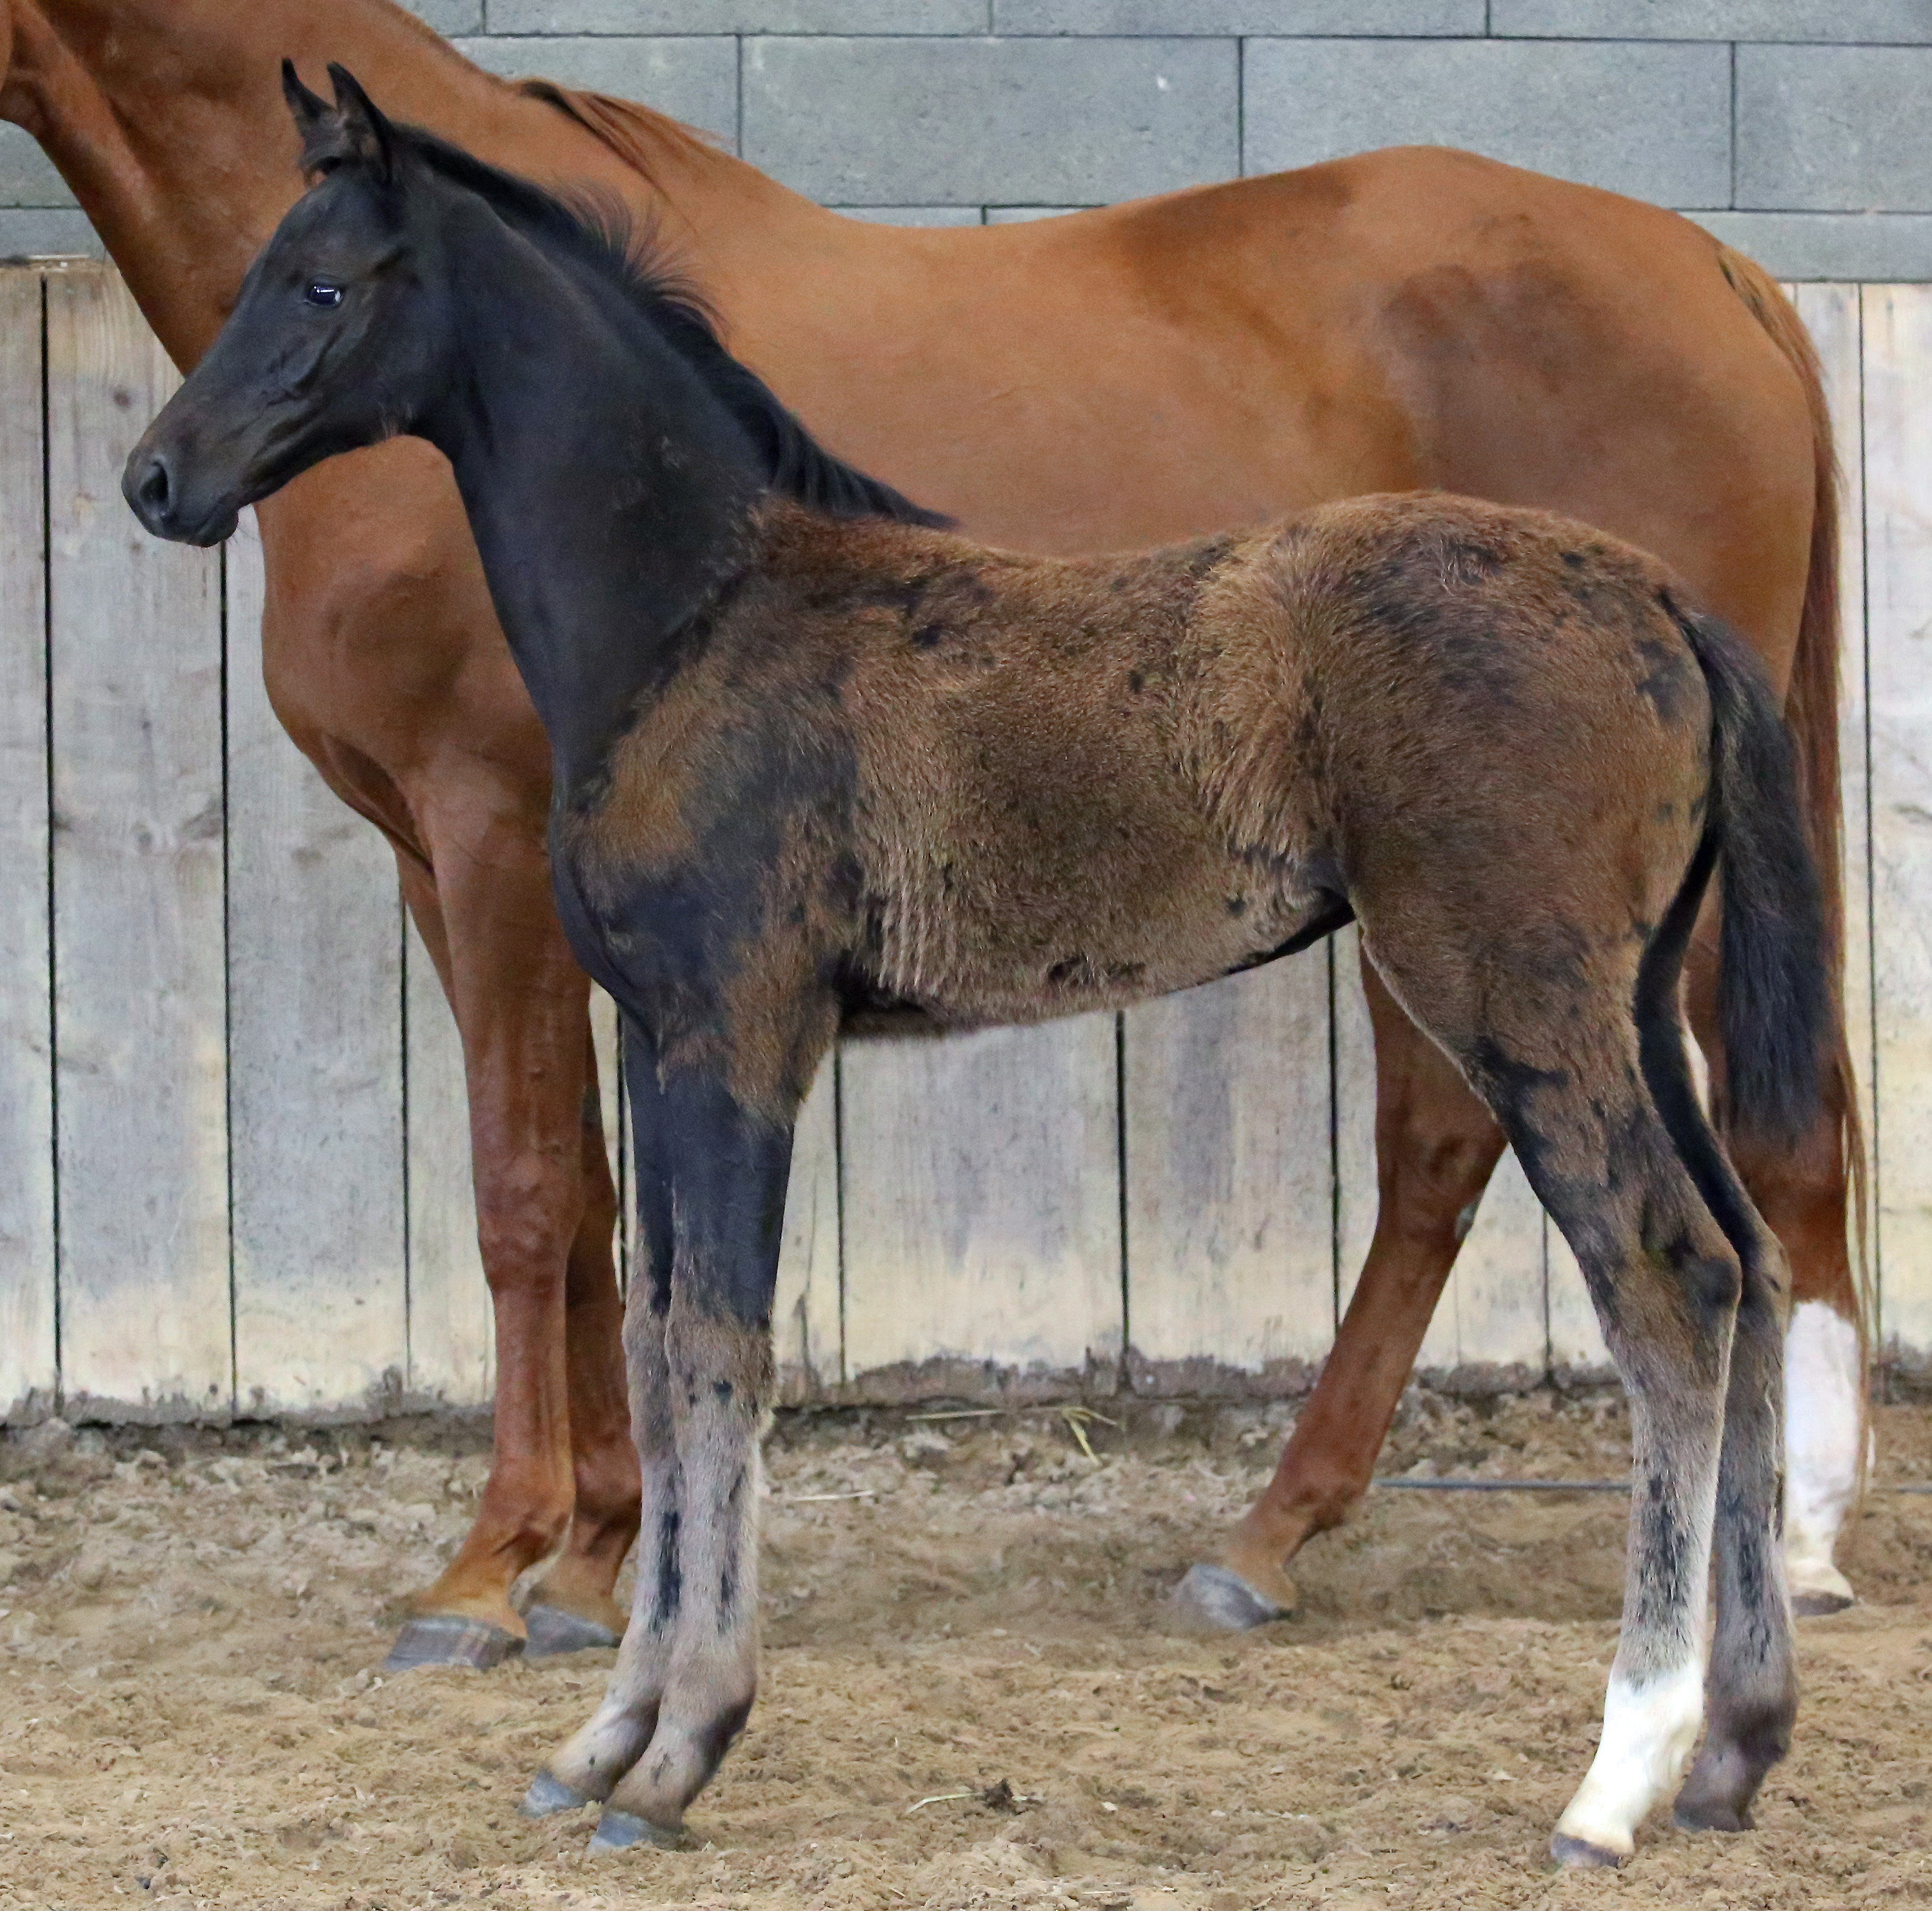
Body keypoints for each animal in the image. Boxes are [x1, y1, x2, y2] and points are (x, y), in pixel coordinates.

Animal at [132, 74, 1824, 1863]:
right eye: (254, 268)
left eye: (321, 284)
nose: (157, 477)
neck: (699, 617)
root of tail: (1653, 598)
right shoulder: (659, 1038)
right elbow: (661, 1348)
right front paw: (599, 1740)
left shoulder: (739, 1032)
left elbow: (716, 1351)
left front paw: (675, 1750)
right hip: (1631, 999)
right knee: (1753, 1260)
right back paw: (1733, 1747)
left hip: (1522, 997)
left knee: (1668, 1280)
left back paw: (1615, 1776)